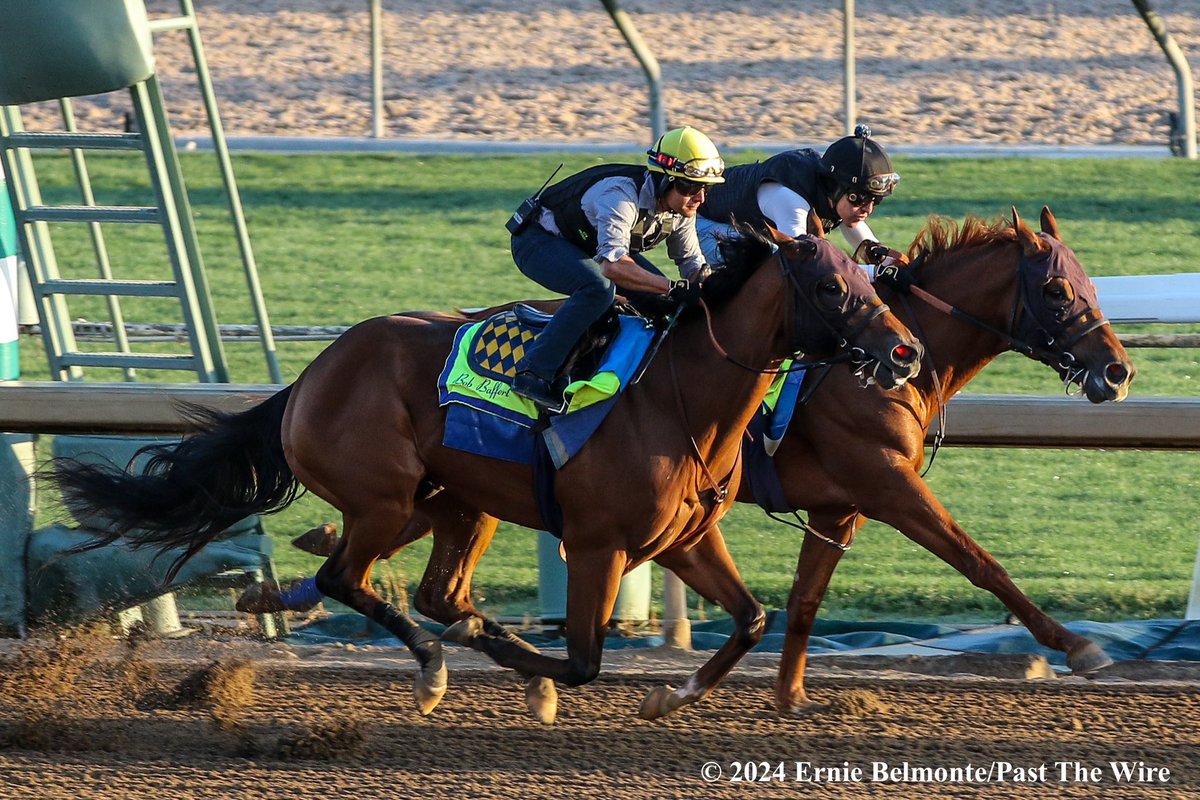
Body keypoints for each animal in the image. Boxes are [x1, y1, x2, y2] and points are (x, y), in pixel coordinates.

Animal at [51, 225, 921, 719]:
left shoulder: (683, 539)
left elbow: (751, 618)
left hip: (452, 503)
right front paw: (538, 679)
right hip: (382, 496)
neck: (682, 396)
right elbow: (582, 661)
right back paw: (432, 666)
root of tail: (312, 375)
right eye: (828, 286)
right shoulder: (598, 544)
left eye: (867, 276)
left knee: (430, 590)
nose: (906, 352)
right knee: (349, 579)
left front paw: (669, 696)